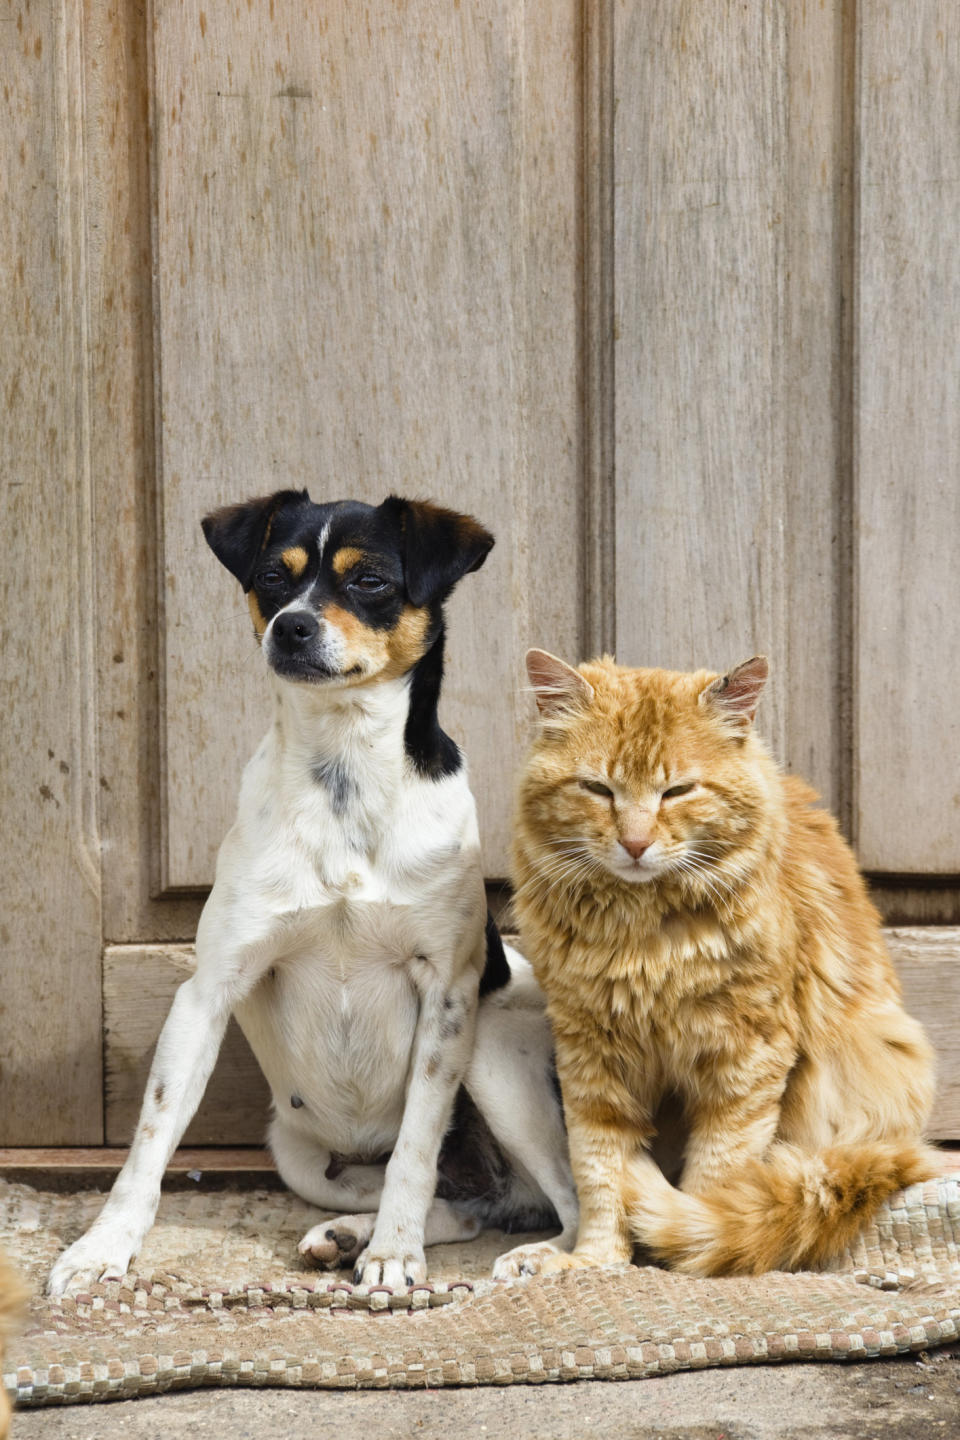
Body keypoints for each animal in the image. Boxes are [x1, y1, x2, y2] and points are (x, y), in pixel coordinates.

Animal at [48, 492, 578, 1296]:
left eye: (370, 581)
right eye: (275, 576)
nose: (292, 626)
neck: (343, 775)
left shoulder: (448, 1000)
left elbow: (416, 1149)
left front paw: (394, 1258)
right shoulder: (207, 992)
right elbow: (149, 1142)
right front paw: (101, 1249)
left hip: (490, 1055)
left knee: (577, 1205)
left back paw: (532, 1257)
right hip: (297, 1154)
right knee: (471, 1204)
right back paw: (346, 1234)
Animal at [509, 648, 938, 1278]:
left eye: (678, 791)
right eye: (598, 789)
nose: (634, 844)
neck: (644, 937)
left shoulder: (745, 1057)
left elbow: (716, 1178)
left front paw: (688, 1251)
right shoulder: (590, 1059)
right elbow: (599, 1173)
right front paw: (595, 1262)